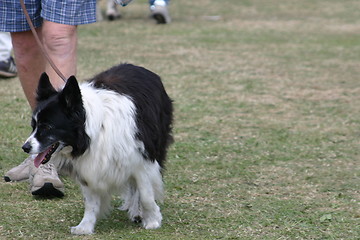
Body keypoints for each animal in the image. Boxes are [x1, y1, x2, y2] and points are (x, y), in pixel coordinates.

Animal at [21, 63, 174, 234]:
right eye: (33, 126)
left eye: (47, 127)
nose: (25, 147)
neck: (93, 131)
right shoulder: (89, 164)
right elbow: (90, 201)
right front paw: (85, 226)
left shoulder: (141, 159)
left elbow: (146, 194)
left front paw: (153, 220)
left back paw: (138, 211)